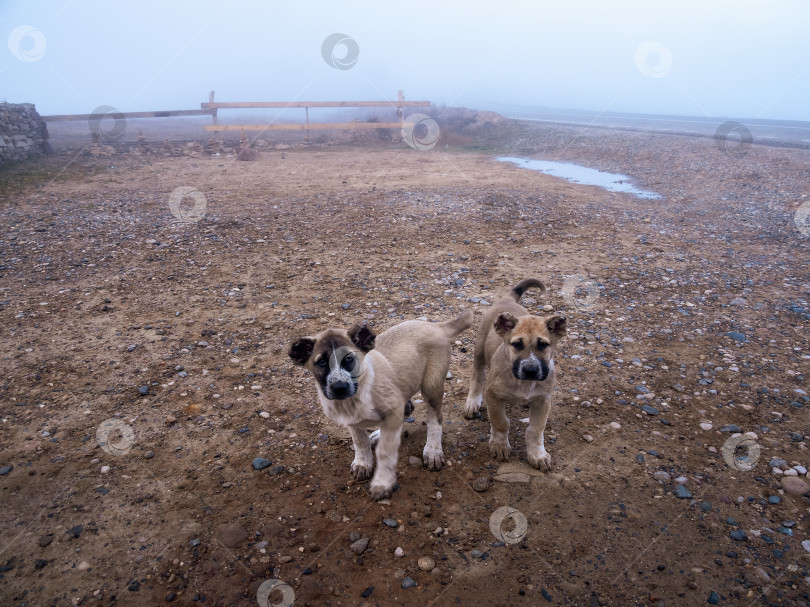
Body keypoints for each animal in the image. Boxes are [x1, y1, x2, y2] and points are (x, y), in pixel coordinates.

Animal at [288, 312, 470, 502]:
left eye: (349, 359)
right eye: (322, 363)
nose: (339, 387)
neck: (356, 395)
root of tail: (435, 325)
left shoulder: (393, 408)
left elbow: (386, 451)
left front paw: (382, 483)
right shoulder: (353, 420)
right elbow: (360, 442)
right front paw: (363, 463)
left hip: (431, 387)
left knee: (435, 419)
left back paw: (433, 450)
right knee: (408, 408)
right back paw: (378, 434)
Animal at [460, 280, 568, 470]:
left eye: (543, 345)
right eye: (517, 345)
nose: (530, 370)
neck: (523, 383)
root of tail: (507, 299)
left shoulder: (543, 400)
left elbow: (535, 430)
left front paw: (537, 455)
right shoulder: (493, 395)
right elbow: (501, 422)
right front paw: (499, 445)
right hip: (479, 350)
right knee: (477, 376)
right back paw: (472, 402)